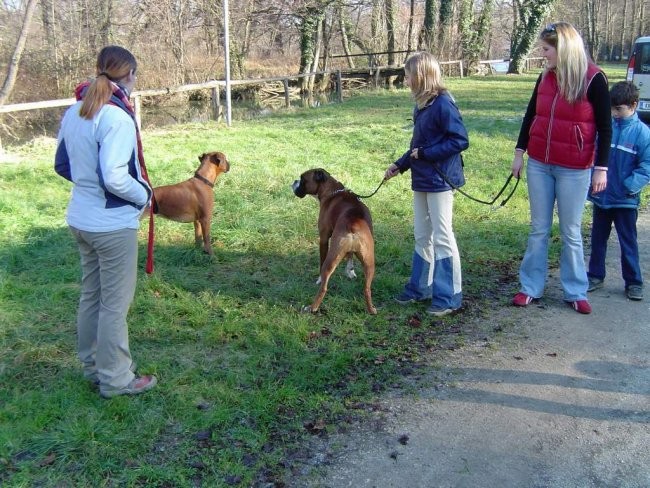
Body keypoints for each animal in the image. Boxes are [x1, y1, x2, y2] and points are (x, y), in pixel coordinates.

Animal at [292, 168, 378, 314]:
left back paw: (312, 307)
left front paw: (319, 279)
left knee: (323, 288)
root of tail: (354, 224)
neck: (332, 191)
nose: (294, 181)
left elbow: (321, 261)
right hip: (369, 262)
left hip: (331, 257)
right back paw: (371, 309)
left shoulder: (324, 238)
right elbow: (350, 256)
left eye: (303, 179)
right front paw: (350, 271)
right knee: (367, 289)